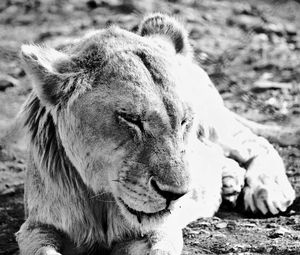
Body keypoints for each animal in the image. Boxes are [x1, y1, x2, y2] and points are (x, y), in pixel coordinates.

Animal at [14, 13, 296, 255]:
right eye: (131, 119)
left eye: (184, 121)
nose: (177, 194)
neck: (101, 202)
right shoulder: (36, 227)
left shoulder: (158, 232)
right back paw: (229, 181)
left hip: (215, 124)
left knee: (256, 142)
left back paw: (268, 192)